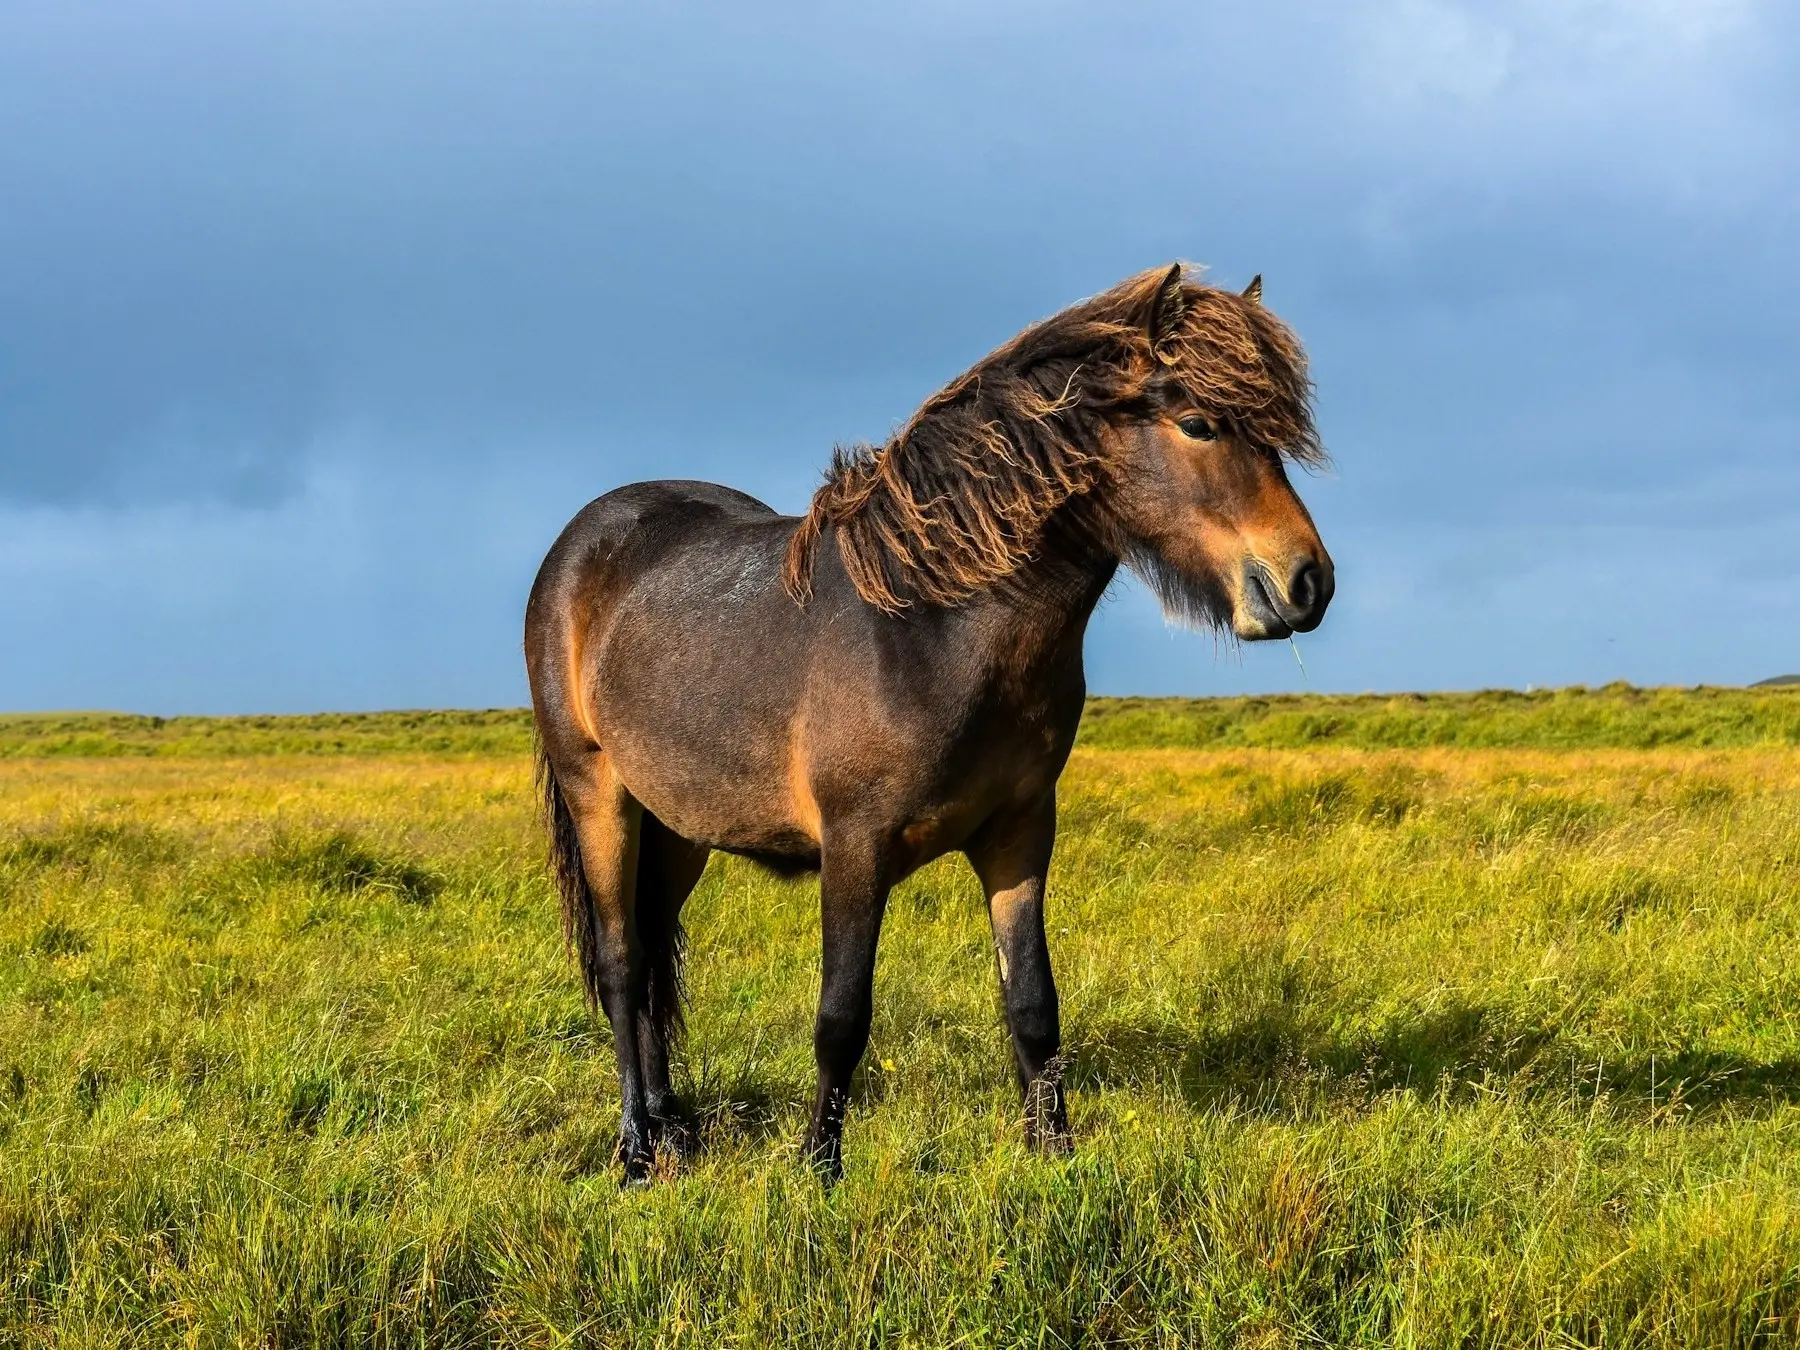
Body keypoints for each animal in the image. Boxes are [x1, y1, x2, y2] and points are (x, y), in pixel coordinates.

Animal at [525, 264, 1332, 1180]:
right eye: (1198, 423)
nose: (1308, 581)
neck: (934, 626)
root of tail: (581, 544)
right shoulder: (855, 847)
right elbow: (841, 1015)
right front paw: (819, 1168)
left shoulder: (1020, 835)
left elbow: (1033, 1004)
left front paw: (1055, 1156)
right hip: (600, 792)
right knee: (623, 962)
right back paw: (634, 1149)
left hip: (680, 823)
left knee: (657, 950)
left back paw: (675, 1128)